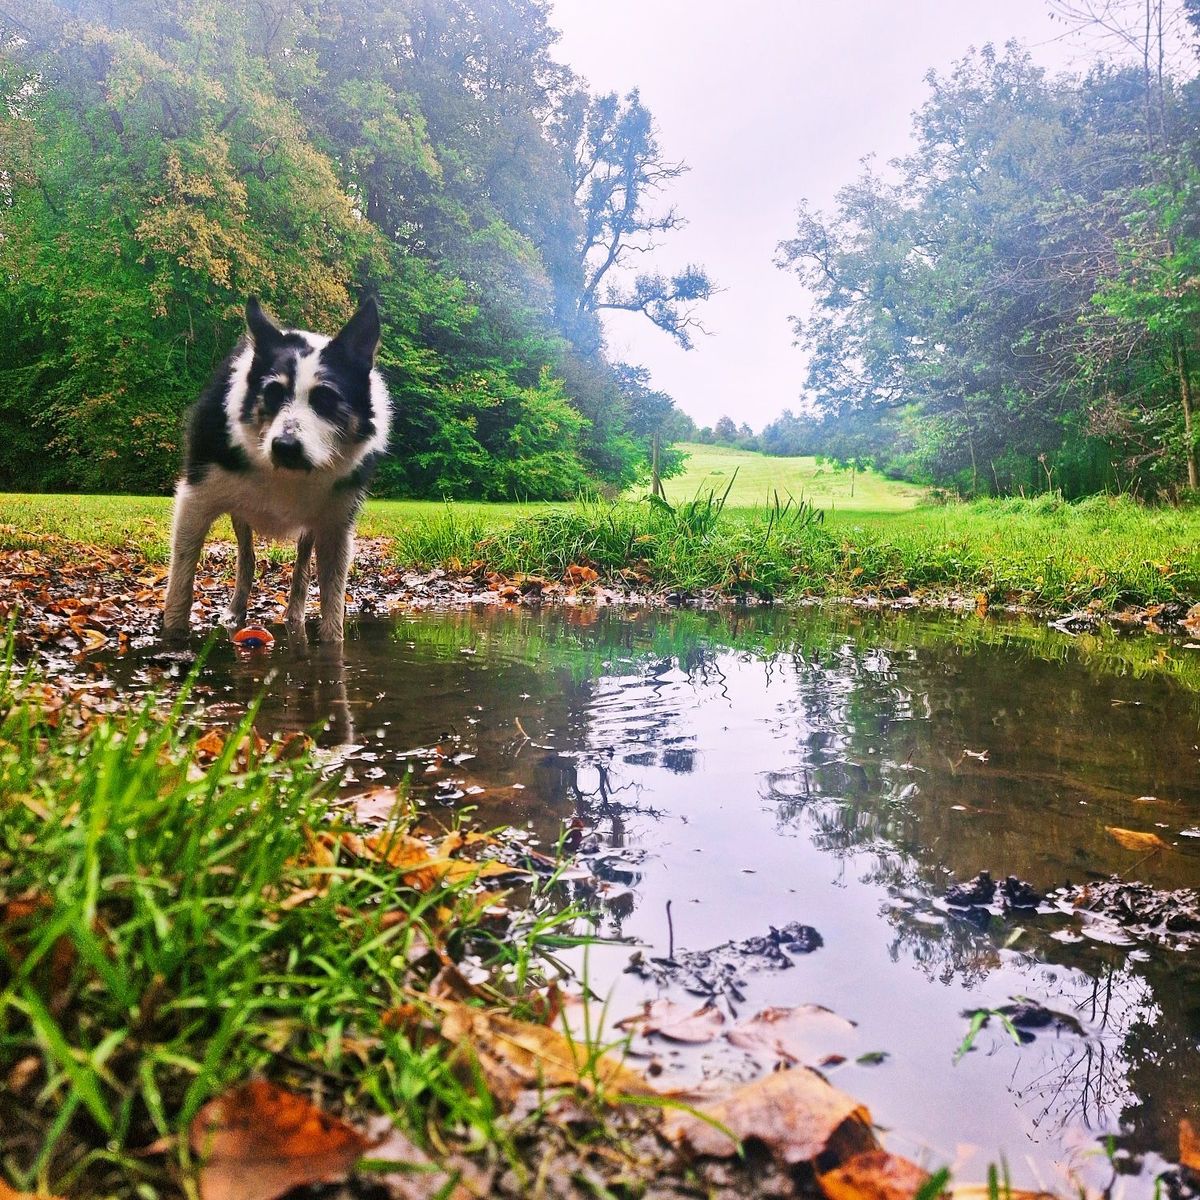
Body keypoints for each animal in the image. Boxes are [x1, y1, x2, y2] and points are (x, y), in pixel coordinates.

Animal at [162, 294, 388, 643]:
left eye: (325, 398)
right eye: (271, 393)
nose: (285, 446)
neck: (284, 474)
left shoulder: (336, 523)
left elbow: (332, 604)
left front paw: (331, 647)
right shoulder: (195, 499)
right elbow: (181, 582)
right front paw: (172, 640)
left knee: (301, 566)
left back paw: (293, 615)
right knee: (246, 557)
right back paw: (235, 613)